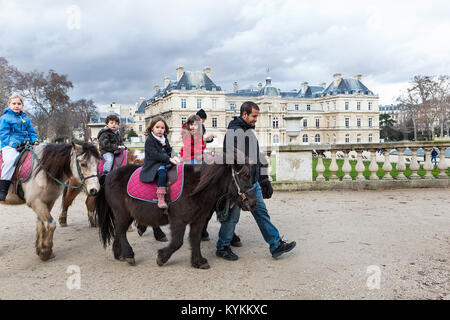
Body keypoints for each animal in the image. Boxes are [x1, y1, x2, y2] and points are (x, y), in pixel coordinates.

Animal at [95, 155, 256, 268]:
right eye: (245, 176)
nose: (253, 203)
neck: (195, 188)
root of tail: (109, 175)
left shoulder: (198, 220)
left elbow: (195, 239)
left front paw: (198, 261)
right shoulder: (178, 220)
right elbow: (177, 242)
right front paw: (162, 257)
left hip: (126, 215)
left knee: (118, 231)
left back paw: (119, 253)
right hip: (122, 213)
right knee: (121, 231)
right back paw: (129, 254)